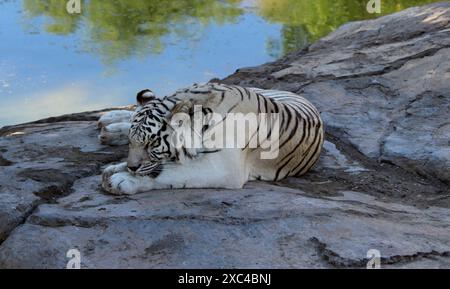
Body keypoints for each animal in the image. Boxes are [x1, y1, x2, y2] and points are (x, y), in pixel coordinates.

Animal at [101, 82, 324, 194]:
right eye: (132, 142)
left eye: (152, 143)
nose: (132, 167)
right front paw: (117, 168)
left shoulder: (226, 169)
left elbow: (170, 173)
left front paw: (119, 178)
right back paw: (108, 123)